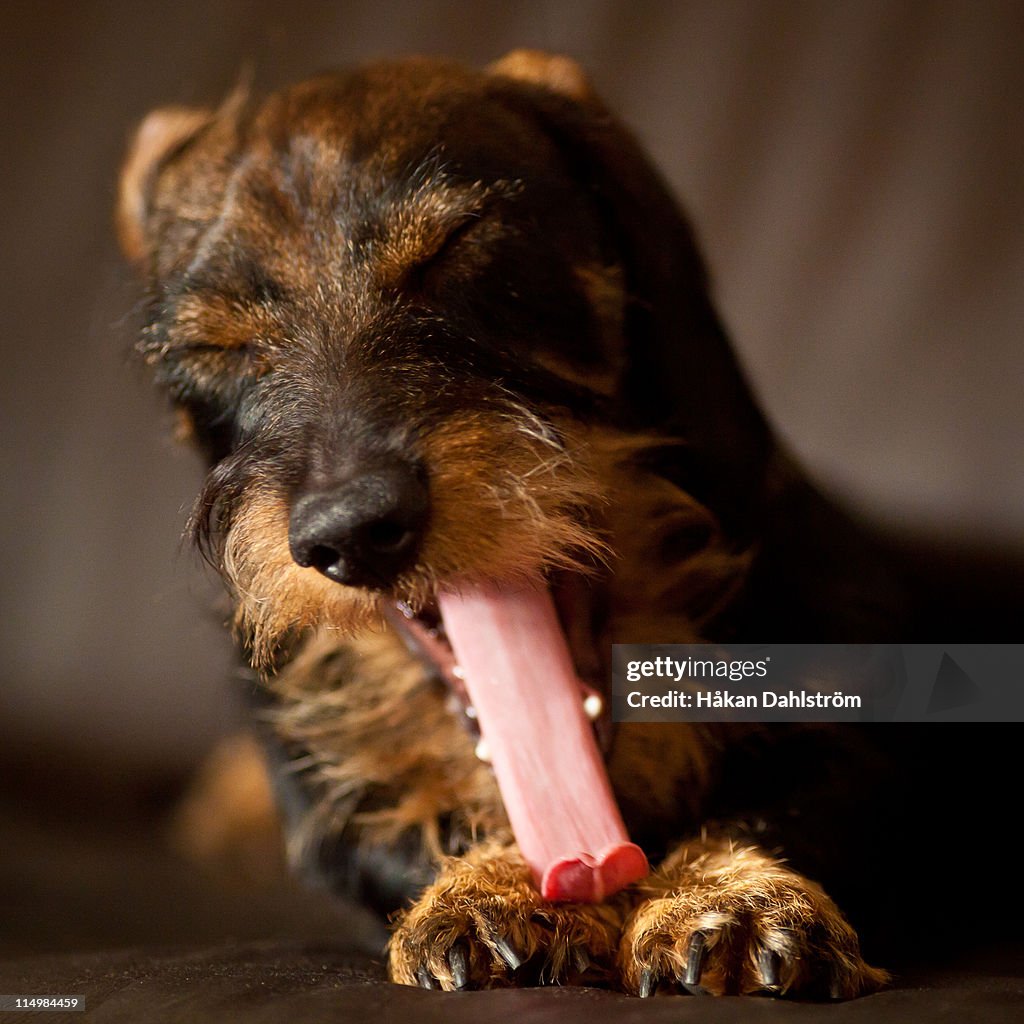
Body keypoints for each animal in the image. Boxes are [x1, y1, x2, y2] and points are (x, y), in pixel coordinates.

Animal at [117, 51, 905, 995]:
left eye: (458, 247)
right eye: (219, 348)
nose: (353, 530)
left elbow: (791, 798)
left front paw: (729, 893)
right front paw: (493, 885)